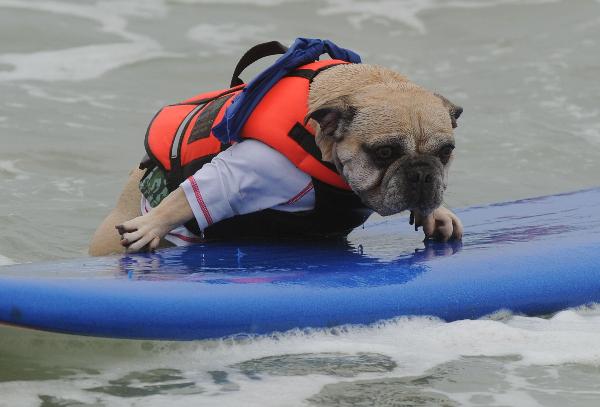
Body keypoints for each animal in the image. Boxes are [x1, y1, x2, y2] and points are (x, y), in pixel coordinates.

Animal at [90, 62, 464, 255]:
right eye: (384, 152)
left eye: (445, 152)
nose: (422, 174)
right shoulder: (248, 171)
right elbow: (187, 196)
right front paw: (150, 225)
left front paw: (437, 214)